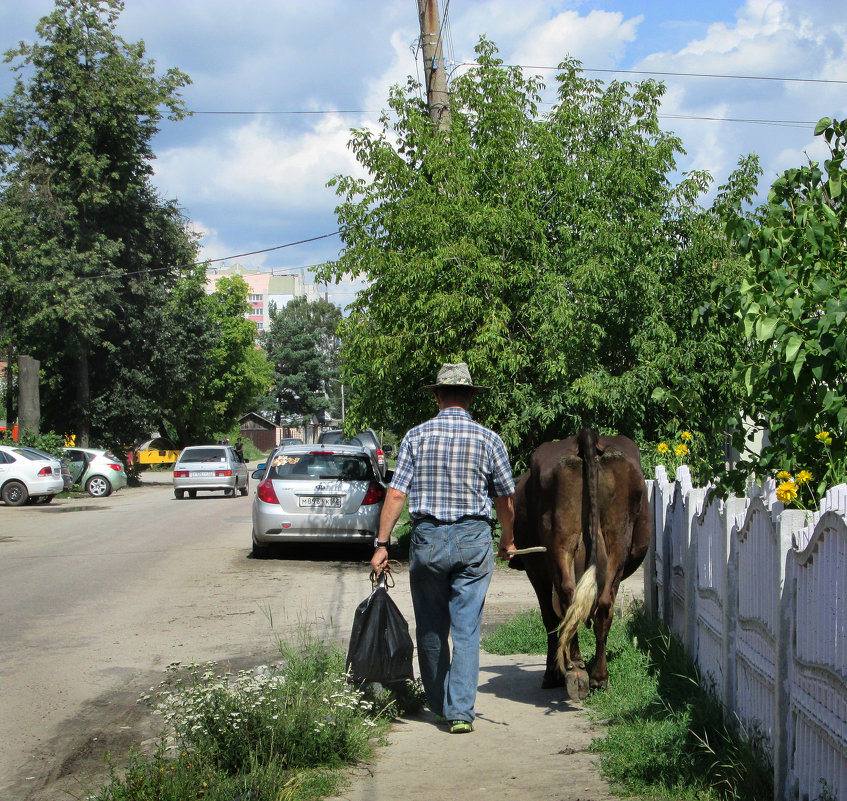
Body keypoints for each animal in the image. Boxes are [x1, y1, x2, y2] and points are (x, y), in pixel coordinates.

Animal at [510, 428, 648, 696]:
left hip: (559, 543)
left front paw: (551, 673)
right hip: (617, 539)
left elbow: (549, 619)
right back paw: (597, 676)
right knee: (601, 605)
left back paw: (575, 668)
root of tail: (585, 436)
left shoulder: (535, 572)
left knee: (568, 600)